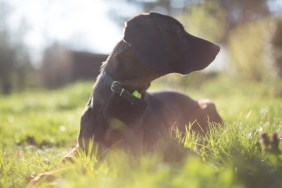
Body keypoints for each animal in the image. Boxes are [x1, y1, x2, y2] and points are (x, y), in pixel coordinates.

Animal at [67, 12, 220, 156]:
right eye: (177, 30)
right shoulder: (80, 149)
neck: (122, 92)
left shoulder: (126, 152)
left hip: (207, 105)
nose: (217, 47)